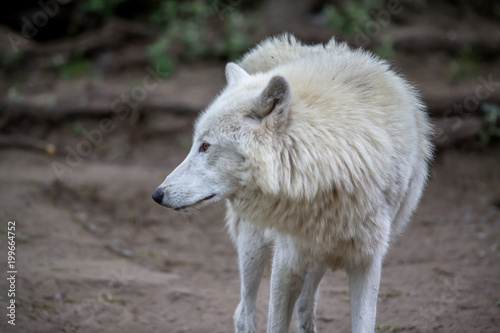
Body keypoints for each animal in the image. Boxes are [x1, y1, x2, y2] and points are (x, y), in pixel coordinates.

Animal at [152, 34, 434, 332]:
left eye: (205, 146)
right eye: (197, 144)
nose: (157, 194)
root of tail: (279, 45)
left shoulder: (367, 260)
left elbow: (362, 323)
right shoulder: (287, 259)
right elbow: (275, 322)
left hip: (317, 261)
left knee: (304, 306)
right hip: (254, 247)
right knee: (244, 312)